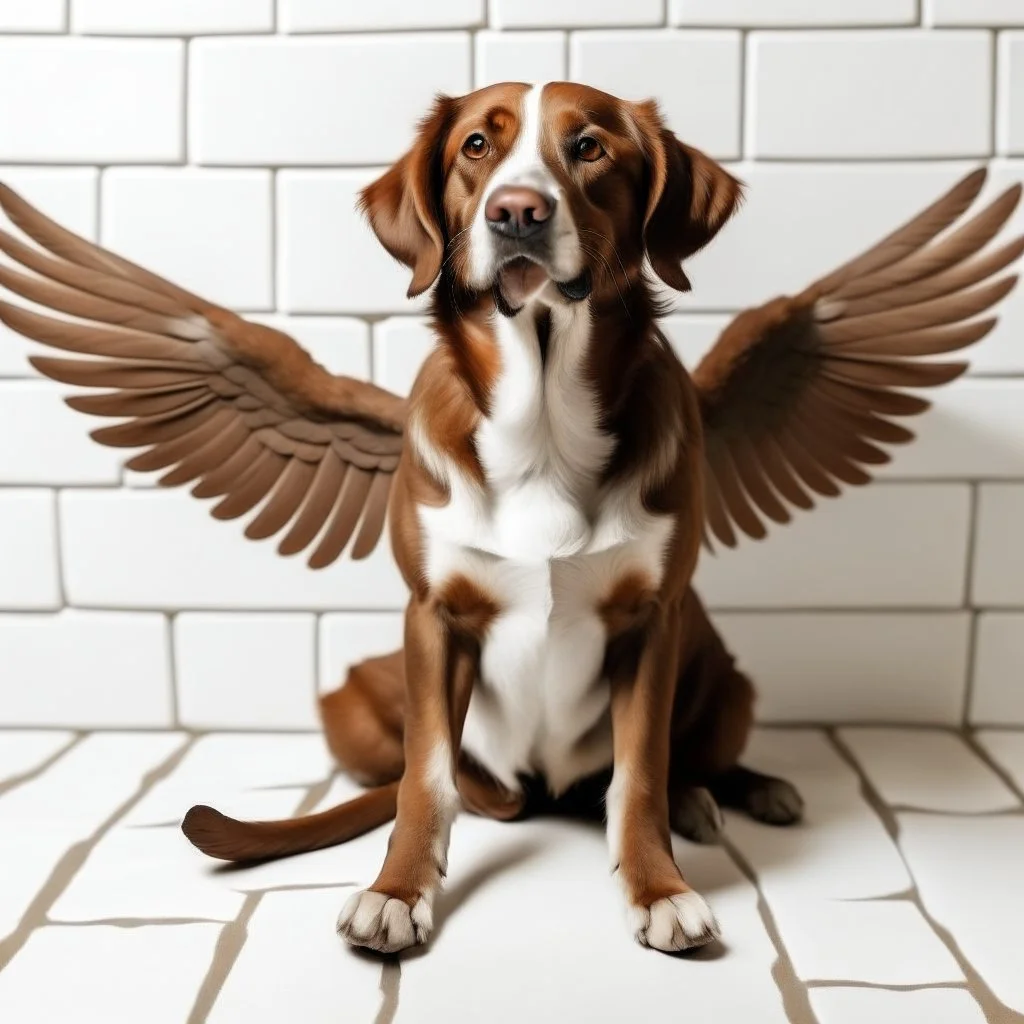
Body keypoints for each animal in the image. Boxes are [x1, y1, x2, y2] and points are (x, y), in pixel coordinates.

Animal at [0, 79, 1015, 958]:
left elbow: (638, 774)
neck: (543, 412)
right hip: (352, 698)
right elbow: (425, 780)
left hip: (725, 672)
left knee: (684, 758)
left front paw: (659, 886)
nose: (518, 212)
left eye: (590, 146)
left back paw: (725, 793)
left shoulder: (653, 622)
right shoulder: (433, 618)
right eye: (475, 149)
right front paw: (397, 891)